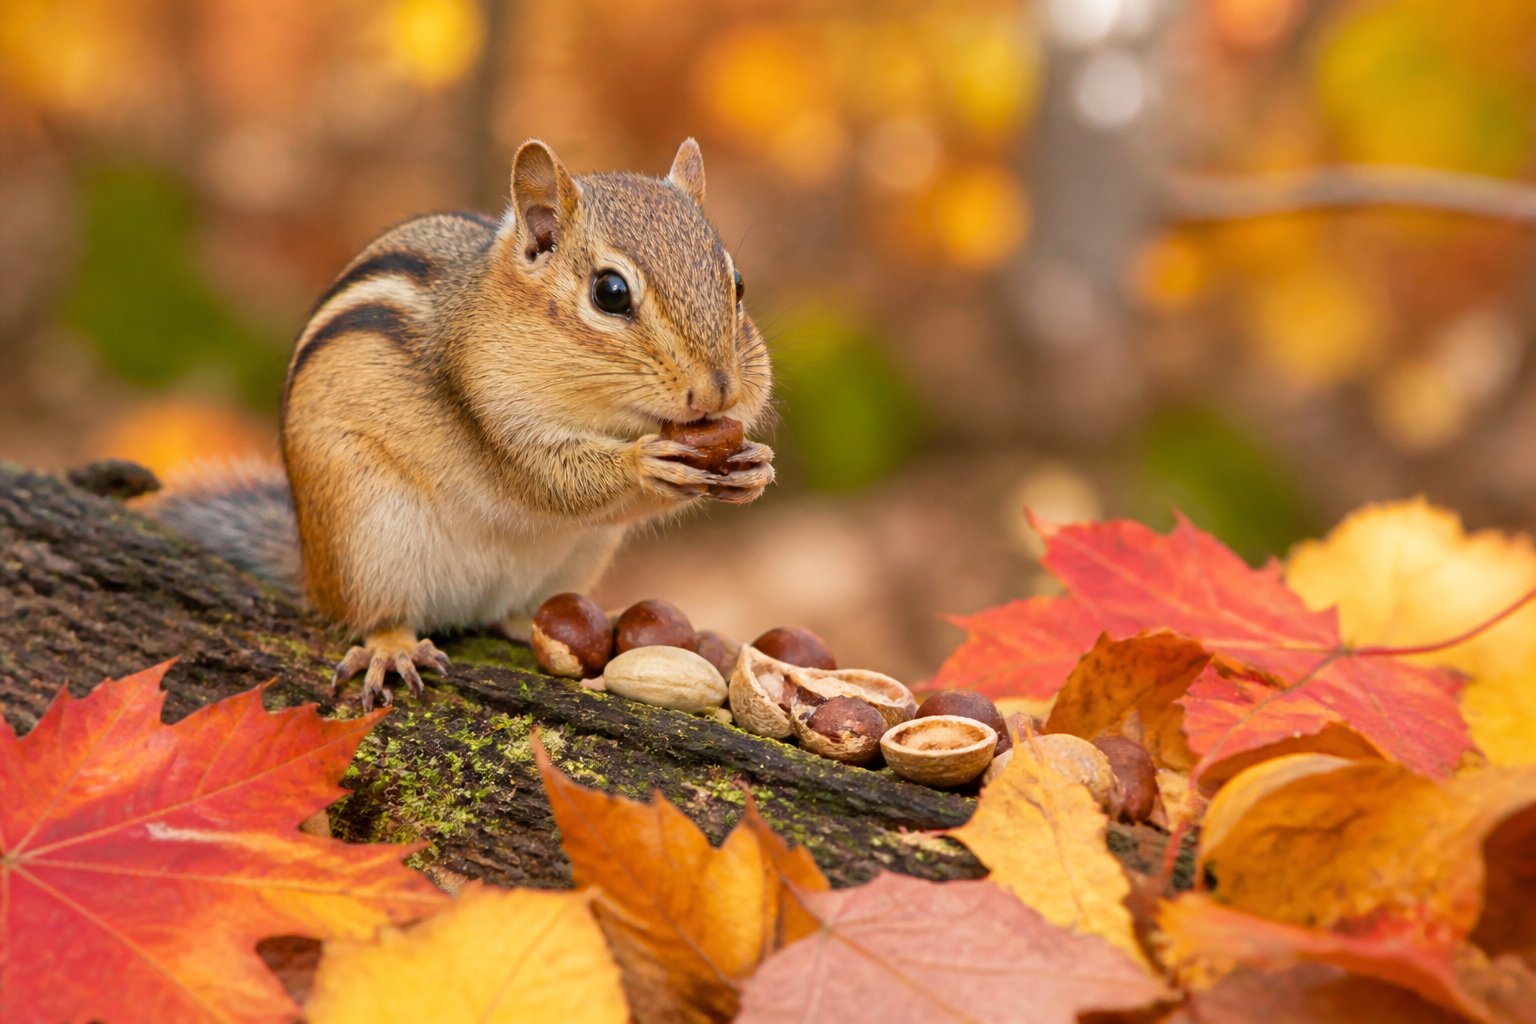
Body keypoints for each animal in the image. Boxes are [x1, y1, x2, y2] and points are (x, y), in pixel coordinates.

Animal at [140, 139, 775, 709]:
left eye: (739, 284)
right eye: (610, 292)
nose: (719, 389)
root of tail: (310, 567)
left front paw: (753, 468)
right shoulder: (491, 408)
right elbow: (554, 480)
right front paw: (647, 462)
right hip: (367, 538)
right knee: (374, 615)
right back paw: (392, 648)